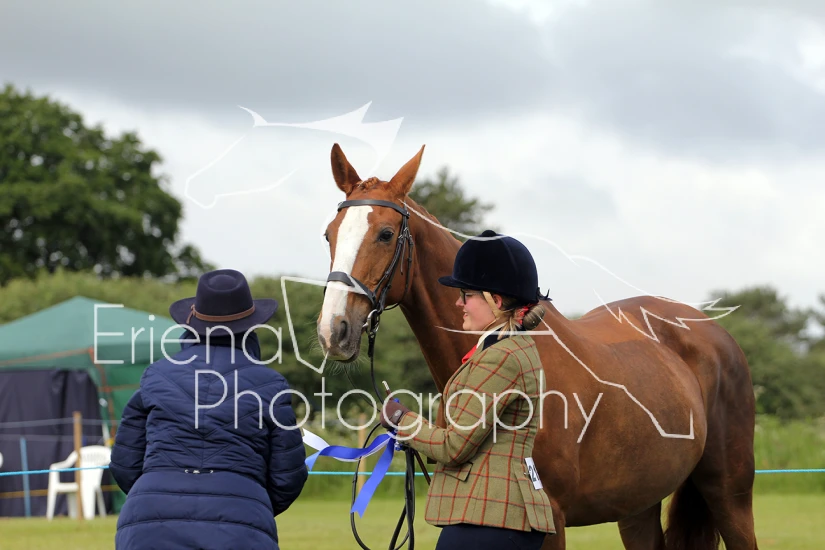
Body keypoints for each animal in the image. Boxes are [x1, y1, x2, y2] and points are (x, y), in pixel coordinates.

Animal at [316, 143, 759, 550]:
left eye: (386, 234)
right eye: (329, 235)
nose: (333, 331)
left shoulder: (552, 520)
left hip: (730, 494)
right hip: (637, 505)